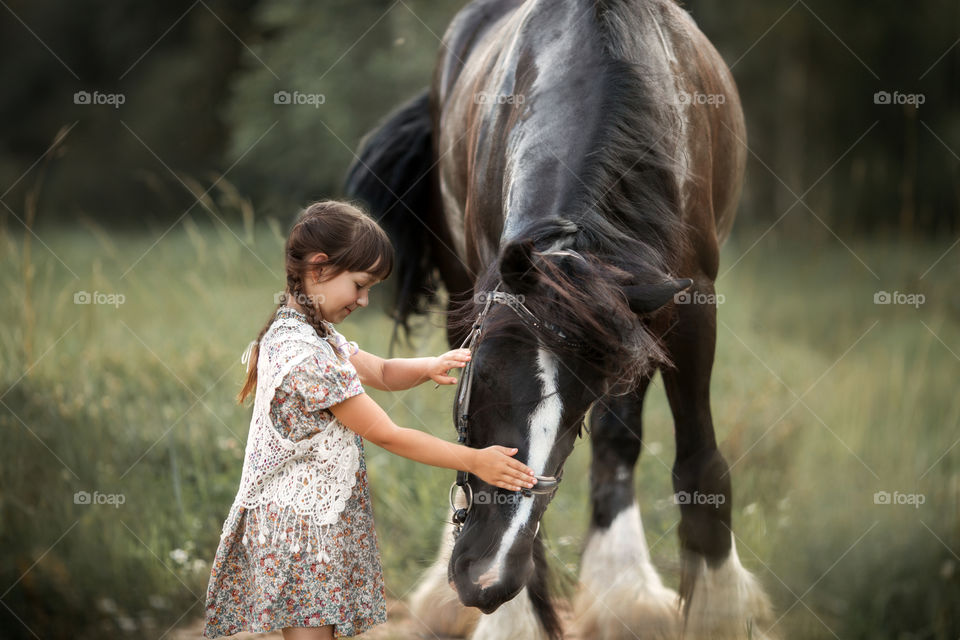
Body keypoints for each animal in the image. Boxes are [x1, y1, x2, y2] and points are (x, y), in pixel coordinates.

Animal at [344, 0, 772, 636]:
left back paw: (623, 592)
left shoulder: (684, 307)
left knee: (621, 441)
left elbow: (700, 467)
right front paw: (515, 620)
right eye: (478, 383)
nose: (485, 578)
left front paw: (714, 610)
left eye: (577, 411)